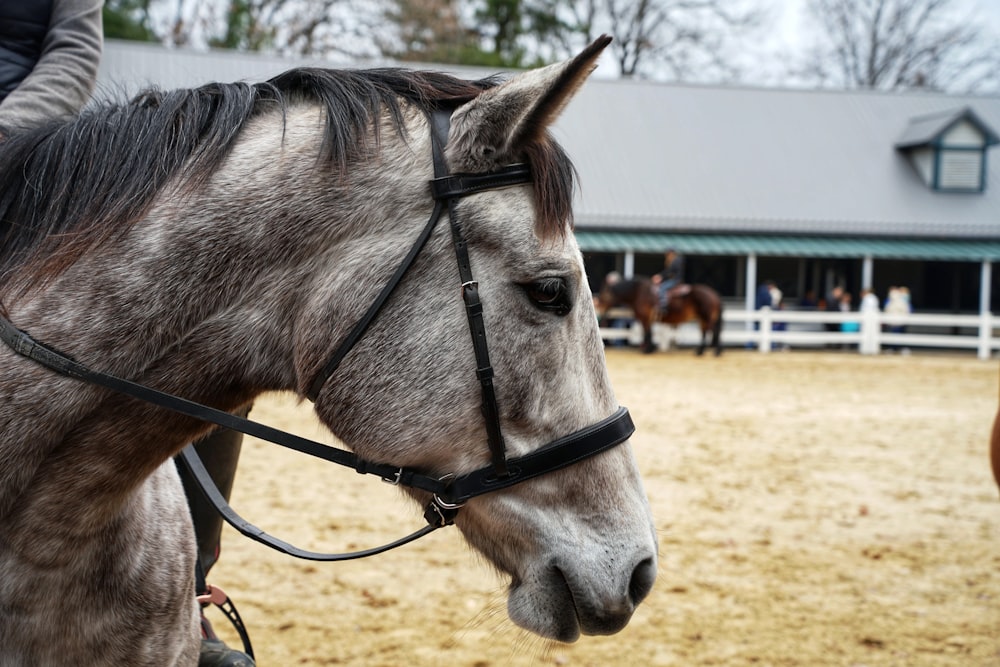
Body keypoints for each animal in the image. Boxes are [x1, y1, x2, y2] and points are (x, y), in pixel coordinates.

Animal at [596, 274, 724, 358]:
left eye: (604, 296)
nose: (599, 308)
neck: (638, 292)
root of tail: (714, 294)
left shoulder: (645, 318)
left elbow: (647, 332)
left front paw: (647, 350)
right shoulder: (649, 319)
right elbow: (649, 332)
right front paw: (650, 348)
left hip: (707, 317)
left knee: (714, 331)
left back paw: (716, 352)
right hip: (702, 318)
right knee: (705, 332)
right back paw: (700, 351)